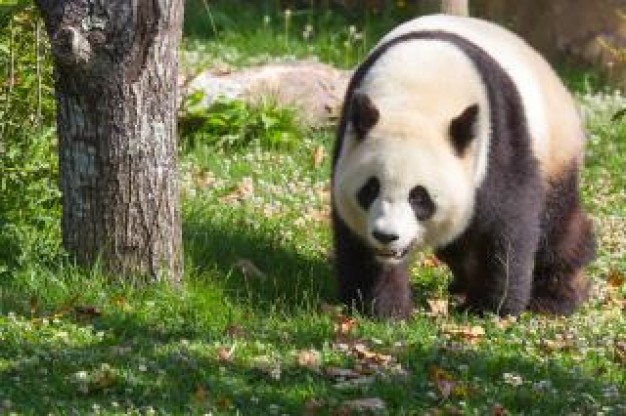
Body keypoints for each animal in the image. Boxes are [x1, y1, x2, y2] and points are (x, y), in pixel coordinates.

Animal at [330, 13, 592, 318]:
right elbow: (357, 241)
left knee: (558, 227)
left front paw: (492, 308)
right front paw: (381, 308)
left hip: (554, 149)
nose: (386, 235)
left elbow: (506, 225)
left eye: (419, 197)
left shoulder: (498, 143)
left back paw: (556, 296)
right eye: (370, 189)